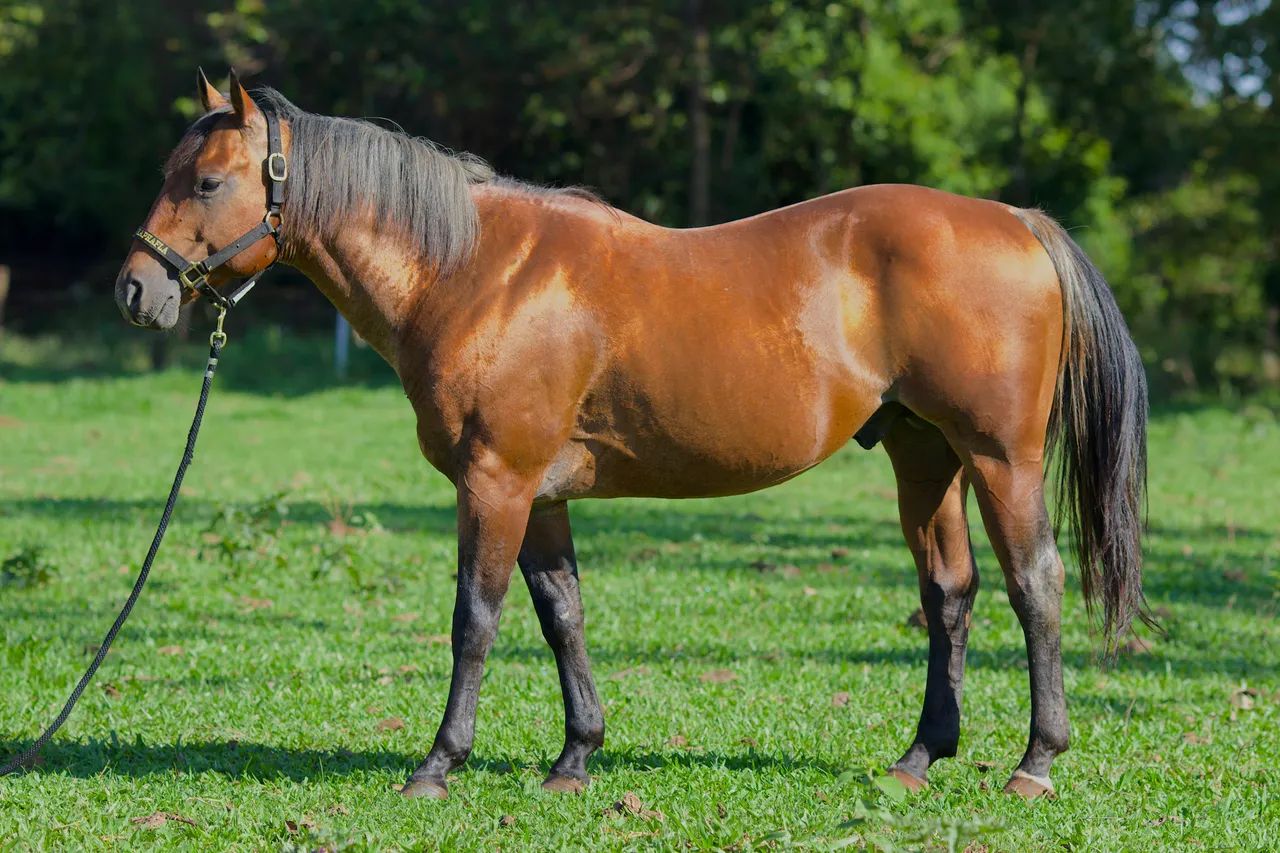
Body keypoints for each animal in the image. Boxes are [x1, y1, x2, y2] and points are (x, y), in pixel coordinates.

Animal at [115, 70, 1150, 801]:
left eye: (207, 181)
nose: (137, 288)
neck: (477, 272)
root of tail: (1015, 220)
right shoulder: (539, 494)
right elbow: (561, 614)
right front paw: (575, 757)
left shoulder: (495, 482)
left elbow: (475, 619)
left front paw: (438, 764)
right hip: (922, 455)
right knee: (950, 594)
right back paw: (919, 756)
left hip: (1000, 458)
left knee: (1035, 585)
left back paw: (1034, 761)